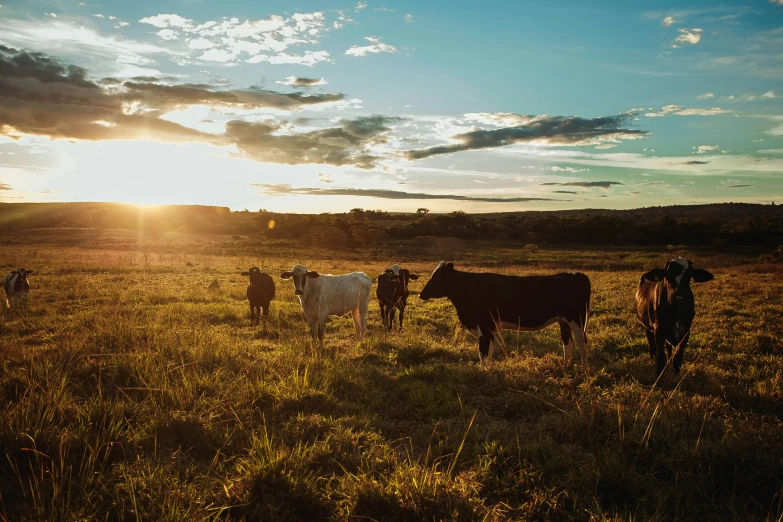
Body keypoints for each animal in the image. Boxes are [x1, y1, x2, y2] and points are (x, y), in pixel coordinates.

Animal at [420, 260, 592, 366]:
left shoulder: (483, 326)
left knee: (581, 341)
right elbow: (488, 351)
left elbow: (483, 352)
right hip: (563, 321)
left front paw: (484, 372)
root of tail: (577, 274)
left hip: (576, 319)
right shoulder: (488, 328)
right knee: (567, 343)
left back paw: (584, 368)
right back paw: (566, 365)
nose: (421, 295)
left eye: (436, 277)